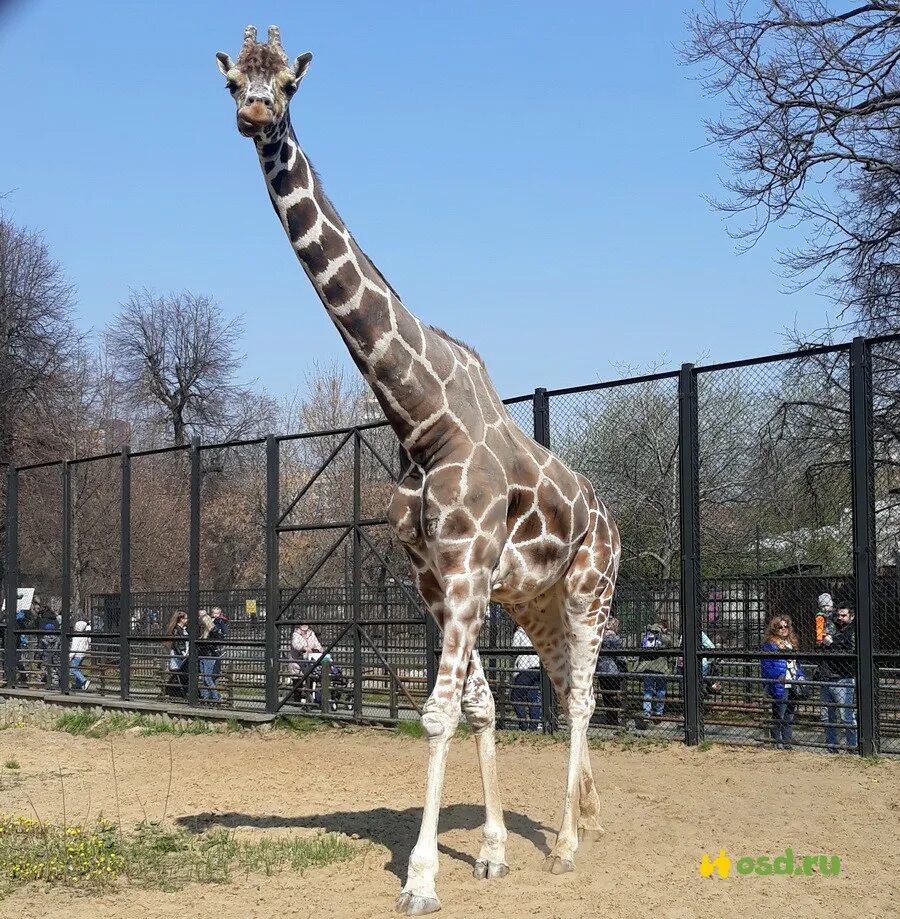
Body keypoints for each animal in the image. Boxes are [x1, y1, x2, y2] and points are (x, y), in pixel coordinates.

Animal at [217, 27, 620, 912]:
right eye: (232, 81)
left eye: (288, 84)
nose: (255, 117)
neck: (420, 417)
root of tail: (609, 514)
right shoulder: (432, 574)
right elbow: (477, 702)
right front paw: (493, 851)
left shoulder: (466, 566)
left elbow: (437, 712)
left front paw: (424, 876)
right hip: (534, 598)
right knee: (564, 683)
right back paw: (576, 818)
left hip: (589, 589)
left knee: (581, 695)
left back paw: (569, 844)